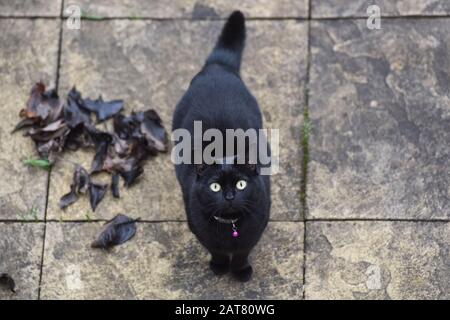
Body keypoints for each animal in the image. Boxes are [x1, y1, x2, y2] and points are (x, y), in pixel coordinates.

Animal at [172, 10, 270, 282]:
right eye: (215, 186)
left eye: (241, 184)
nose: (229, 196)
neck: (231, 227)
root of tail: (217, 67)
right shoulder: (199, 229)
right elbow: (214, 250)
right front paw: (218, 267)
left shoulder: (255, 230)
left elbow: (242, 253)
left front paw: (240, 271)